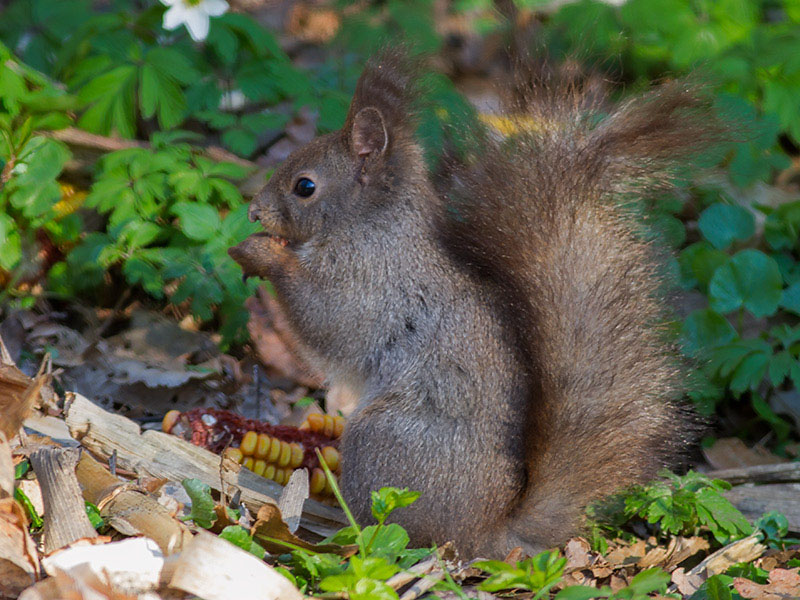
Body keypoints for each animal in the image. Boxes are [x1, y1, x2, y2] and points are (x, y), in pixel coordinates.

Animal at [228, 48, 708, 556]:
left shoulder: (368, 283)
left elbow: (325, 318)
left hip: (383, 444)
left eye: (305, 186)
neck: (370, 225)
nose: (253, 211)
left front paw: (262, 254)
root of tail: (487, 534)